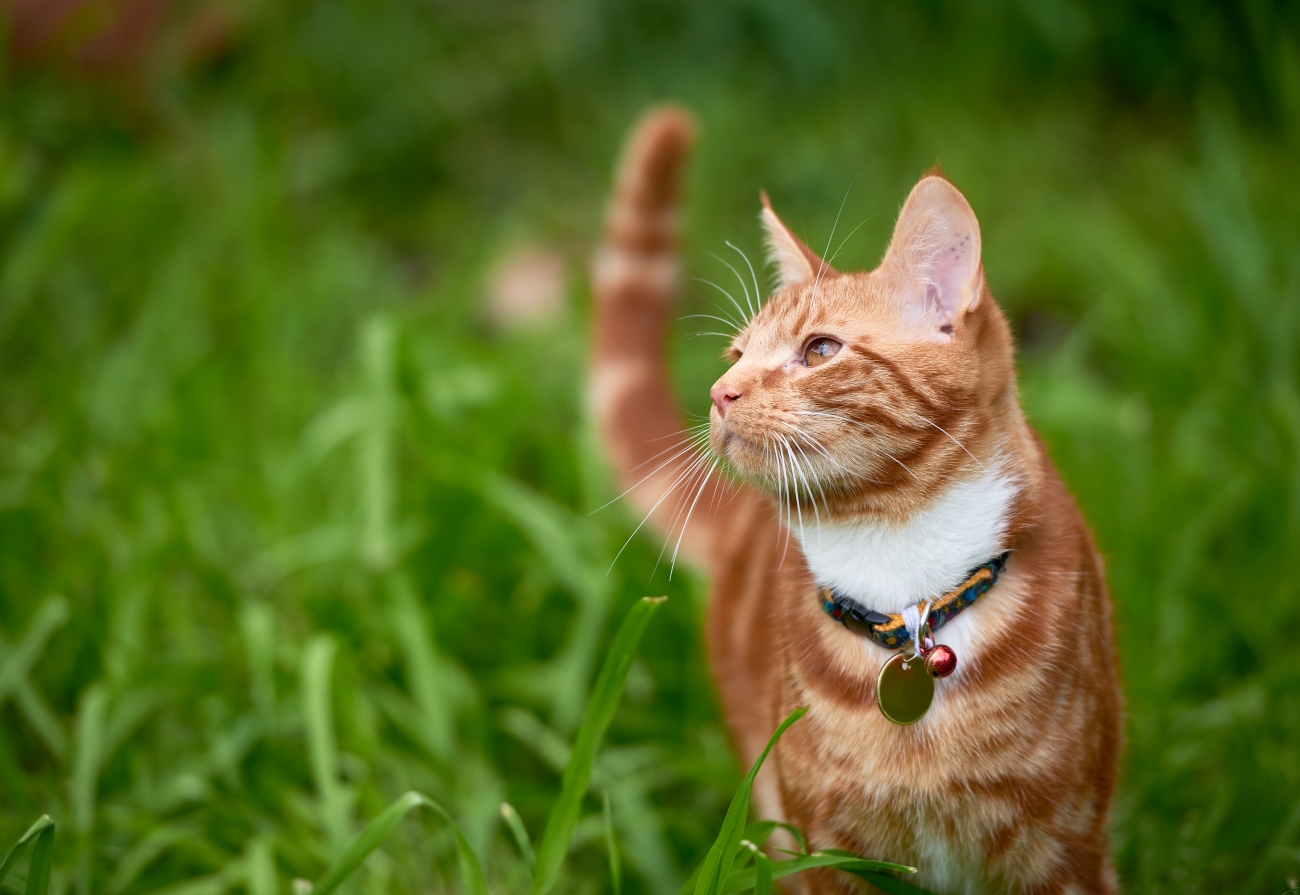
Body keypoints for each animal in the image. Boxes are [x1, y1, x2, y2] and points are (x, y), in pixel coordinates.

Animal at [595, 108, 1123, 889]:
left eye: (820, 350)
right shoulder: (827, 849)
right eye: (736, 356)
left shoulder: (1068, 847)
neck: (905, 580)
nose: (721, 394)